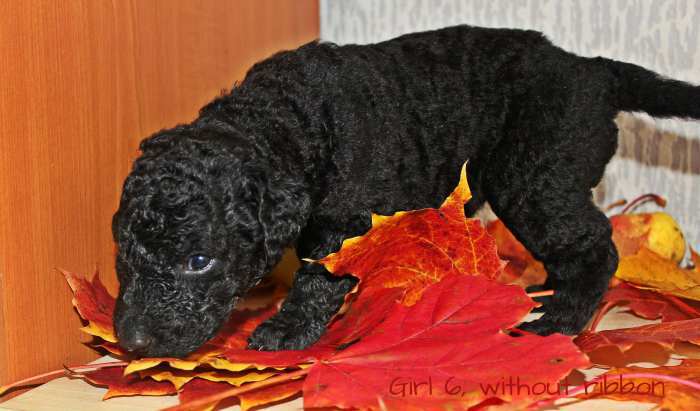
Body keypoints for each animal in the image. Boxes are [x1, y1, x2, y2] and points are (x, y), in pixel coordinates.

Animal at [112, 25, 696, 358]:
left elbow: (318, 279)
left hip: (536, 182)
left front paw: (285, 329)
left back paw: (560, 319)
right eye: (123, 258)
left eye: (199, 261)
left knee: (596, 245)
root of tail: (592, 70)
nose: (132, 343)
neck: (284, 118)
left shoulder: (343, 227)